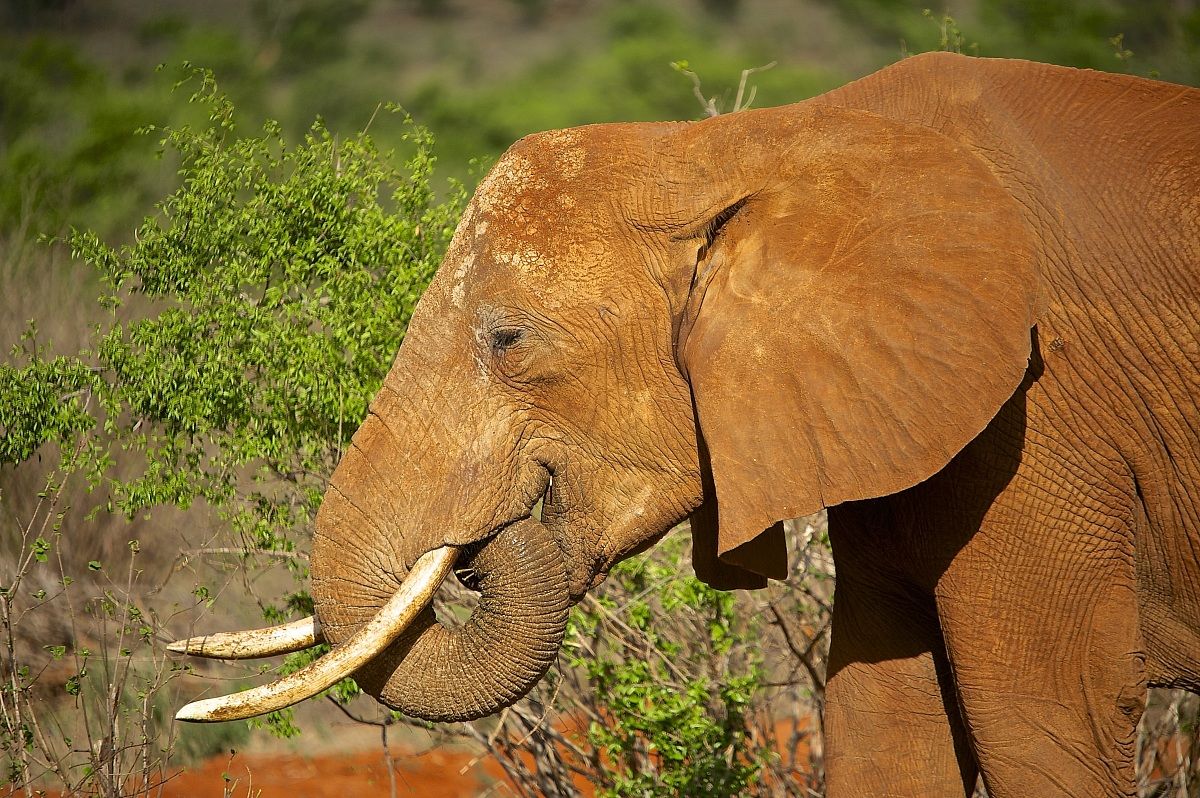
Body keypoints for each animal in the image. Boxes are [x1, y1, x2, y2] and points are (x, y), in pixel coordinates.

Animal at [169, 52, 1200, 797]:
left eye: (509, 341)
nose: (478, 549)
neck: (741, 146)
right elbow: (884, 721)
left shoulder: (1038, 413)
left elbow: (1045, 722)